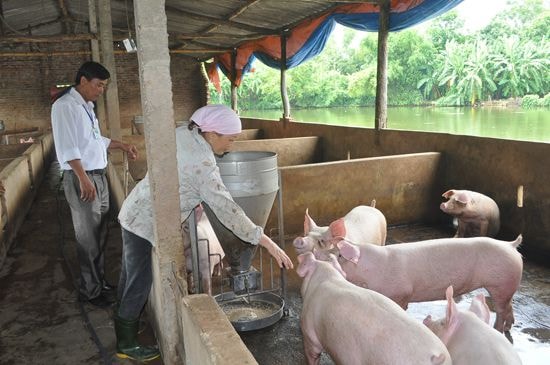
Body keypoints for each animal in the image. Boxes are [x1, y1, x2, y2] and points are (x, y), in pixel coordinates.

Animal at [324, 235, 528, 332]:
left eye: (341, 256)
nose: (325, 257)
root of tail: (510, 245)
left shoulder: (401, 292)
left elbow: (401, 306)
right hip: (507, 286)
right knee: (508, 306)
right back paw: (509, 326)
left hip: (500, 283)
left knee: (501, 310)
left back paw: (498, 329)